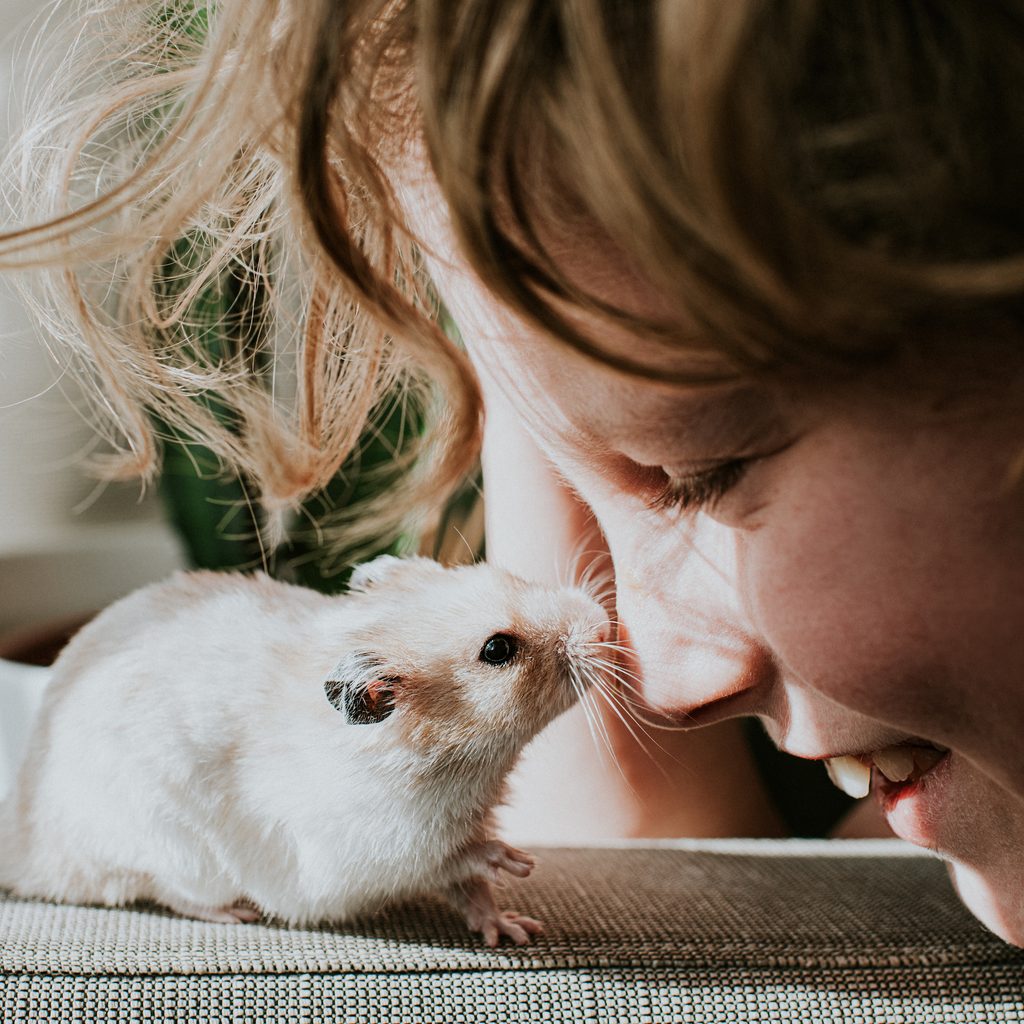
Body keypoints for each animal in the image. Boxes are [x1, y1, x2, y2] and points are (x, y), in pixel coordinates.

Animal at [0, 555, 610, 946]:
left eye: (502, 572)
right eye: (498, 649)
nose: (603, 623)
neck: (461, 764)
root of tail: (29, 847)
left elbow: (470, 889)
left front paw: (515, 930)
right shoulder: (378, 850)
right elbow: (454, 859)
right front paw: (517, 860)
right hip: (165, 845)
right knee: (161, 889)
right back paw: (233, 914)